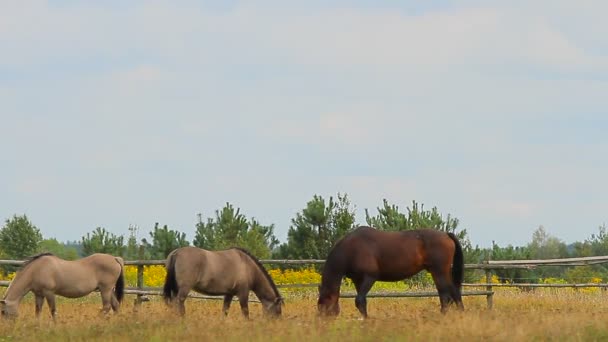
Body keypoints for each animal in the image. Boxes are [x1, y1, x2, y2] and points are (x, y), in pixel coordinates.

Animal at [316, 227, 464, 318]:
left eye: (323, 307)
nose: (321, 326)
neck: (351, 249)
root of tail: (446, 234)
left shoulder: (369, 277)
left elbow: (359, 301)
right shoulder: (358, 280)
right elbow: (362, 303)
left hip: (439, 271)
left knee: (447, 294)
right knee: (451, 293)